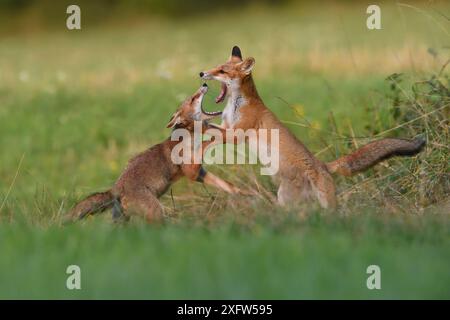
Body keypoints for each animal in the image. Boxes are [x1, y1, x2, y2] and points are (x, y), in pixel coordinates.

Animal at [67, 84, 250, 224]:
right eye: (193, 98)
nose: (204, 84)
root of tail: (116, 188)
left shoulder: (199, 172)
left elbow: (226, 184)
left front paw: (244, 194)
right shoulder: (191, 170)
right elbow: (209, 141)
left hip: (122, 221)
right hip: (156, 214)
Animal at [200, 46, 426, 209]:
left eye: (222, 71)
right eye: (216, 66)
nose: (202, 73)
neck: (236, 104)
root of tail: (323, 166)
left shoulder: (238, 133)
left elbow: (211, 134)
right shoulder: (226, 125)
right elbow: (210, 130)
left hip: (319, 202)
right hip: (286, 199)